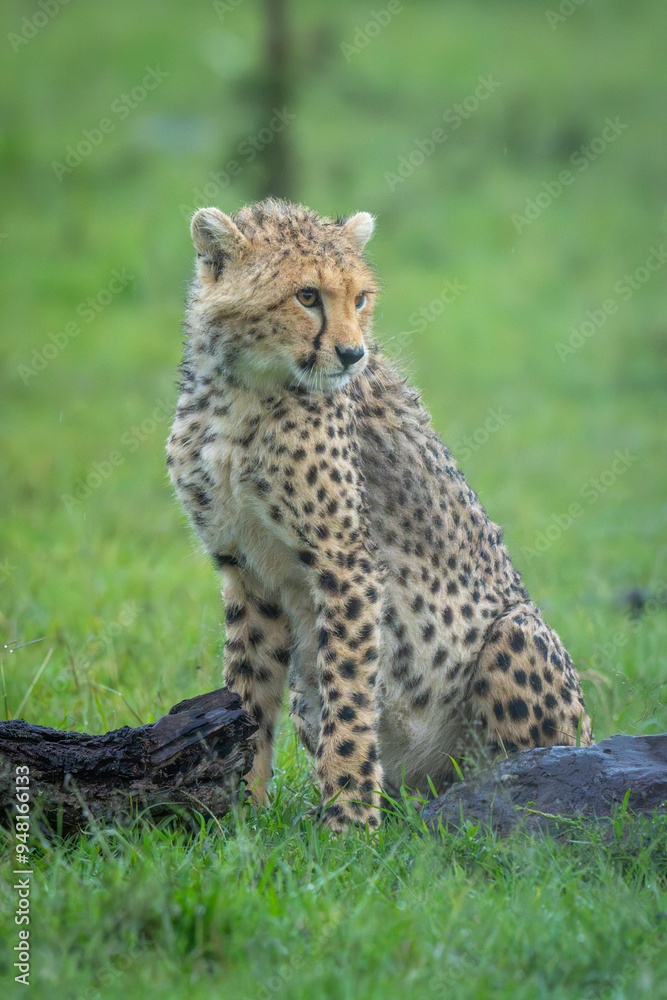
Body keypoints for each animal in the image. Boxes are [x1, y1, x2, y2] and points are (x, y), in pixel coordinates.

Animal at [166, 197, 593, 833]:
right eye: (307, 295)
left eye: (361, 298)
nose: (351, 354)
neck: (243, 390)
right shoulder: (246, 570)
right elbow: (247, 692)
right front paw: (239, 815)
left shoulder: (346, 563)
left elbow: (348, 697)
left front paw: (348, 825)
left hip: (516, 633)